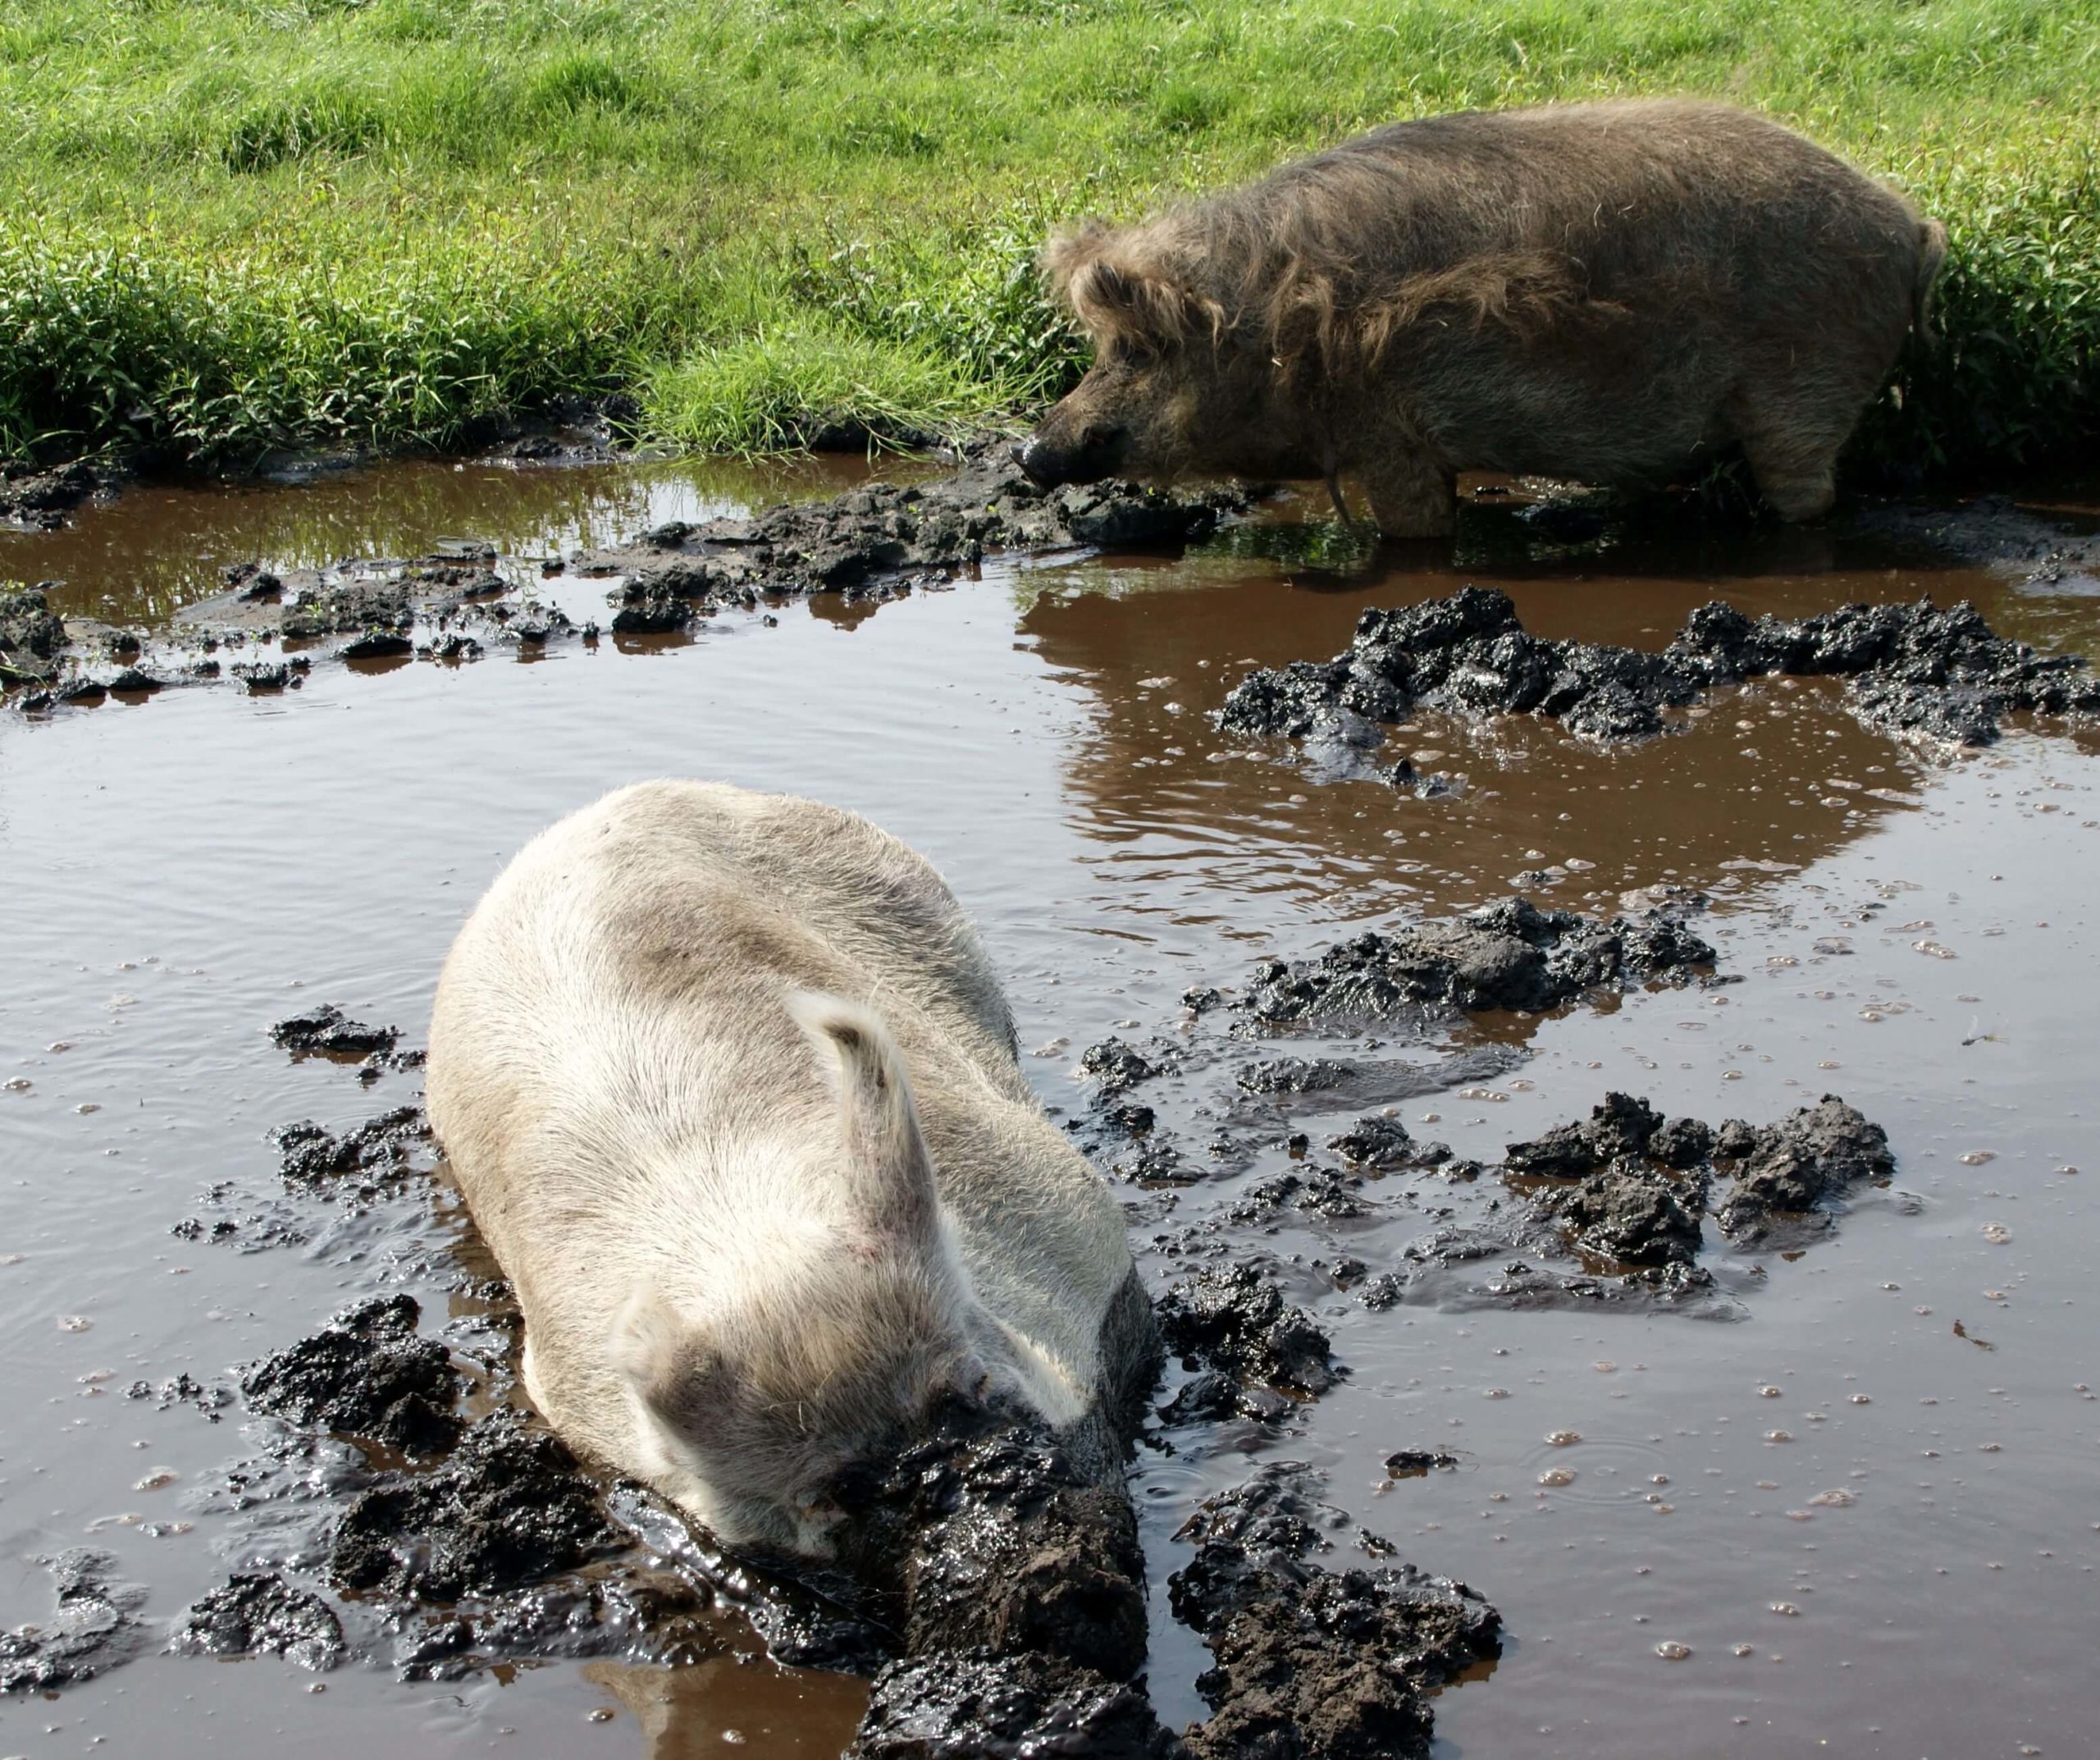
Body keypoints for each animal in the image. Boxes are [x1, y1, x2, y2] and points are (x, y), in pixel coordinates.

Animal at [422, 785, 1150, 1554]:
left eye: (977, 1382)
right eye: (827, 1497)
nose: (1015, 1551)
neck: (747, 1247)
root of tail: (615, 799)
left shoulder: (1063, 1202)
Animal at [1025, 98, 1940, 531]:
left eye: (1140, 349)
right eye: (1103, 348)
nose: (1034, 451)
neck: (1279, 329)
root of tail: (1910, 225)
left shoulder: (1389, 438)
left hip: (1804, 390)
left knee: (1807, 493)